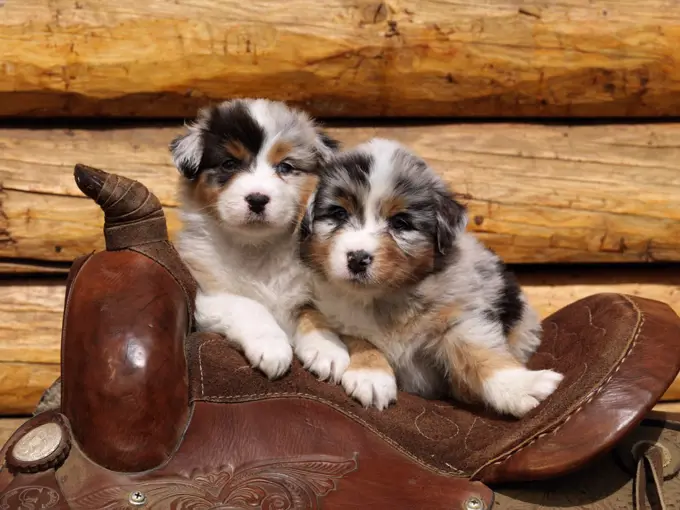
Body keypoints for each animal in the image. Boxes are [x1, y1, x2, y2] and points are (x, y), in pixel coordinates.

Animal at [170, 97, 350, 380]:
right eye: (229, 164)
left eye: (285, 167)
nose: (257, 199)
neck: (256, 248)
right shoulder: (208, 294)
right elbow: (249, 305)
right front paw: (272, 348)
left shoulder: (308, 291)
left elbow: (313, 314)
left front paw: (328, 350)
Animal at [302, 137, 564, 416]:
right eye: (339, 213)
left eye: (400, 222)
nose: (357, 259)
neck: (384, 298)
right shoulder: (336, 314)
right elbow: (359, 338)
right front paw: (371, 376)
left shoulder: (458, 317)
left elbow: (480, 352)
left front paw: (522, 386)